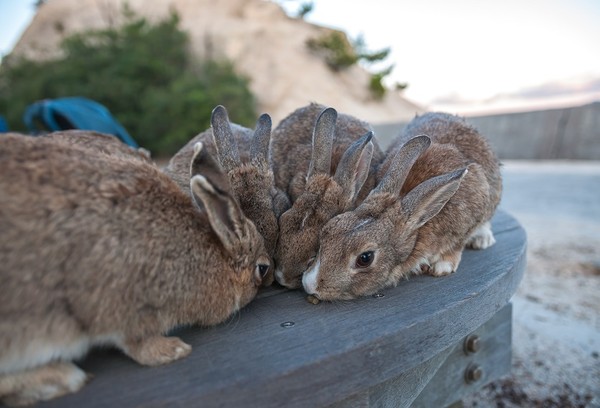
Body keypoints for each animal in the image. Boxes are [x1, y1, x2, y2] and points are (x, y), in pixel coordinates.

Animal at [0, 134, 270, 404]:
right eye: (262, 269)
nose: (263, 285)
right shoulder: (123, 307)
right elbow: (136, 344)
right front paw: (173, 349)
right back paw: (64, 377)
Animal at [302, 111, 504, 300]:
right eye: (327, 230)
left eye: (365, 258)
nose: (309, 285)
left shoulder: (470, 215)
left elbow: (456, 246)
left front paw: (442, 267)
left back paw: (482, 240)